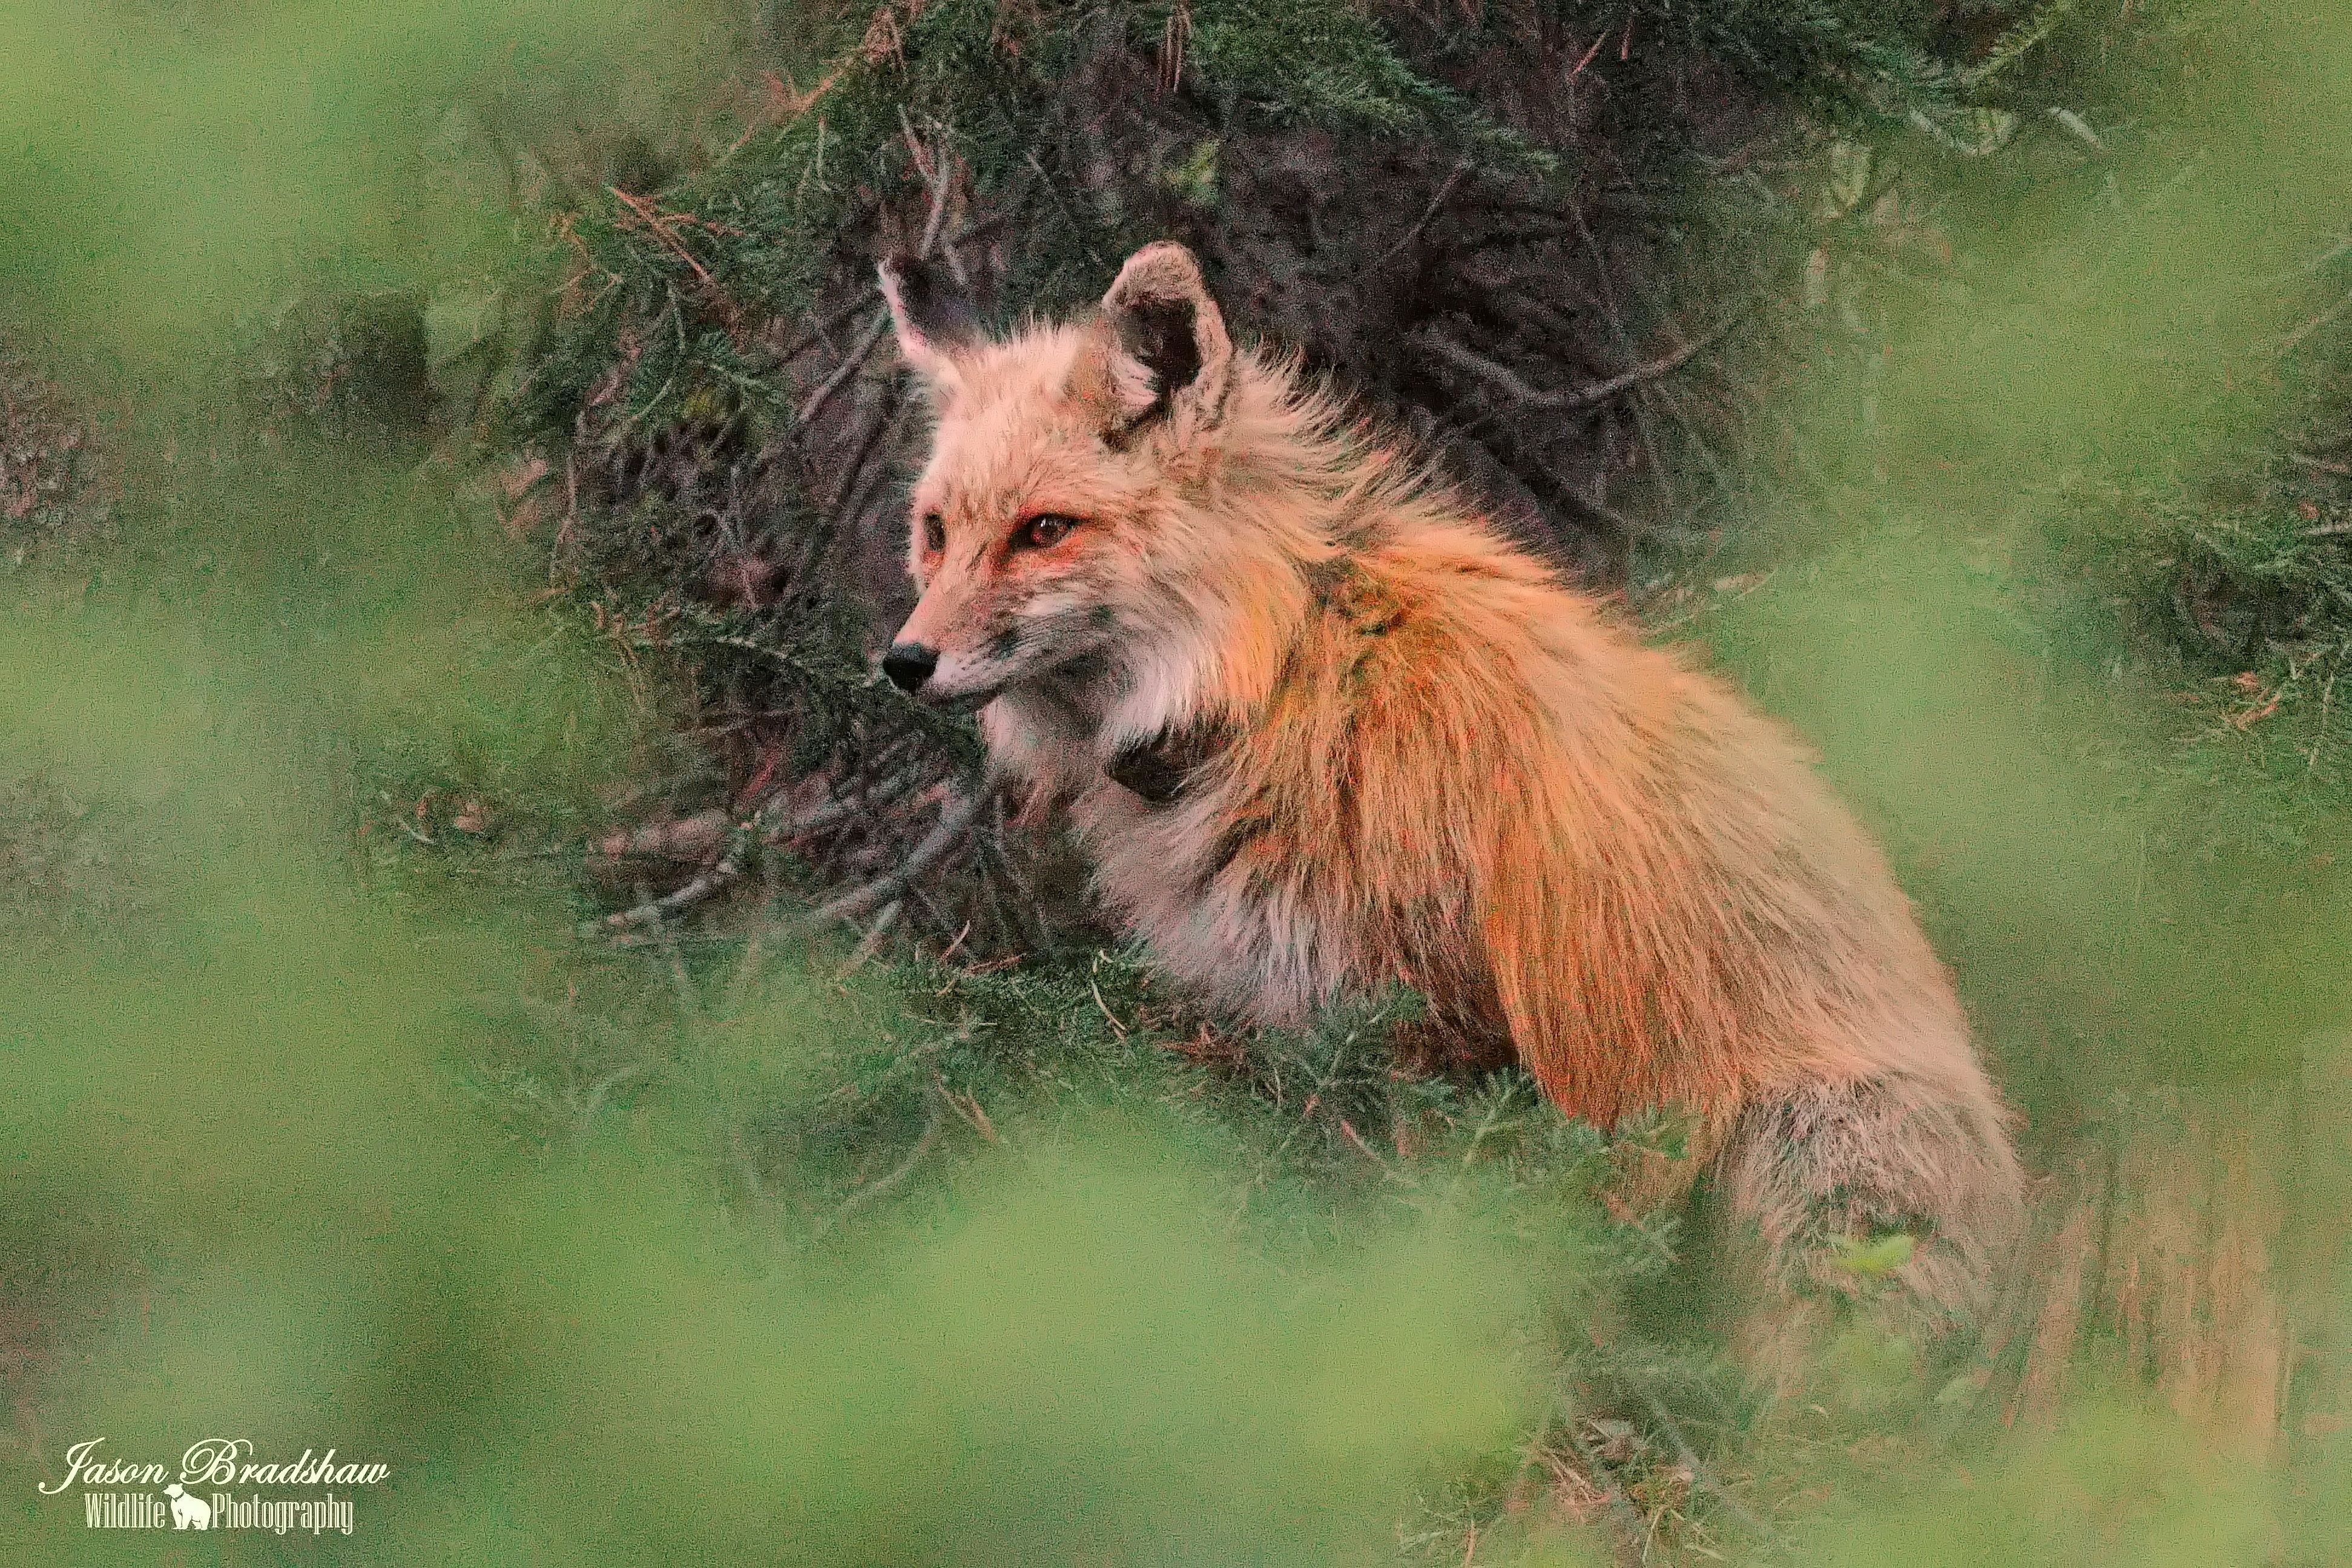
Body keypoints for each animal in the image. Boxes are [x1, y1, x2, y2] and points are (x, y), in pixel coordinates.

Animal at [872, 239, 2024, 1338]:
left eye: (1044, 530)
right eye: (935, 531)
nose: (904, 663)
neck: (1280, 675)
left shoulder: (1452, 1027)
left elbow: (1452, 1240)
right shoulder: (1328, 1036)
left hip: (1815, 1179)